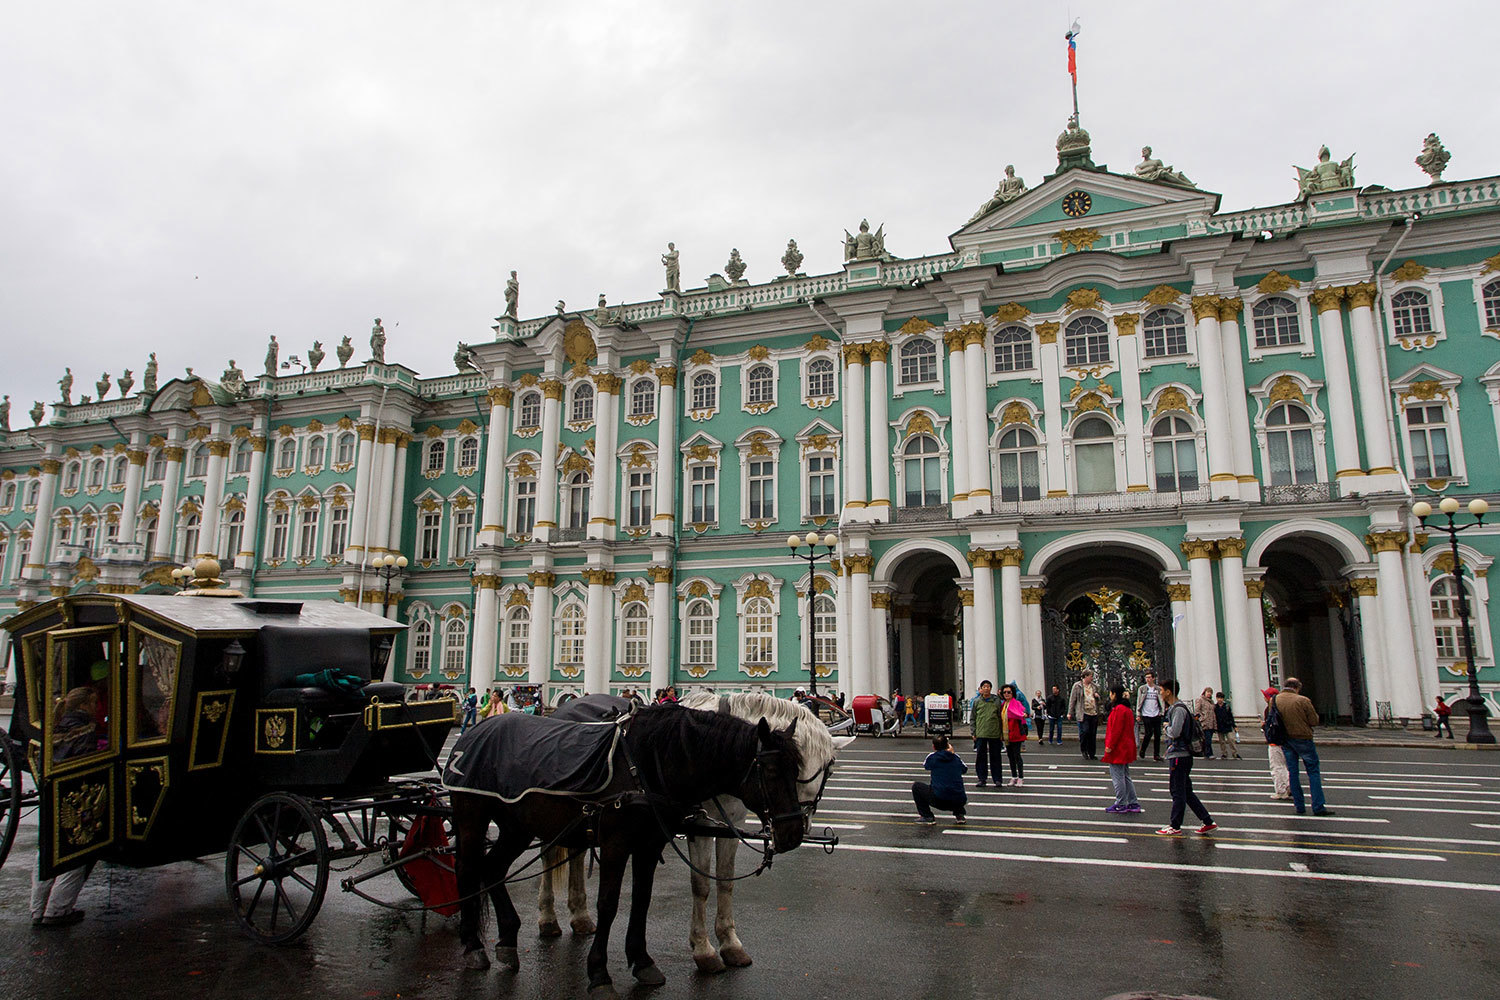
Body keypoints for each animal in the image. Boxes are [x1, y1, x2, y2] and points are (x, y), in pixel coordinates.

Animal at [447, 704, 810, 1000]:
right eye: (771, 771)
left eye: (799, 771)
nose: (793, 833)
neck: (646, 763)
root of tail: (474, 732)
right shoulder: (615, 843)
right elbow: (608, 904)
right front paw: (599, 974)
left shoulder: (650, 843)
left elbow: (643, 899)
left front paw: (644, 963)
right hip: (471, 816)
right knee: (467, 869)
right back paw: (474, 946)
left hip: (517, 827)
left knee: (492, 869)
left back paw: (508, 941)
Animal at [540, 692, 852, 971]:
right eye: (825, 771)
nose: (795, 833)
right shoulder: (699, 825)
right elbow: (700, 885)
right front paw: (704, 950)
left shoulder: (733, 824)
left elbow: (725, 881)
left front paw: (730, 943)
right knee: (548, 855)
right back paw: (548, 919)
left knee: (576, 854)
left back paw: (580, 917)